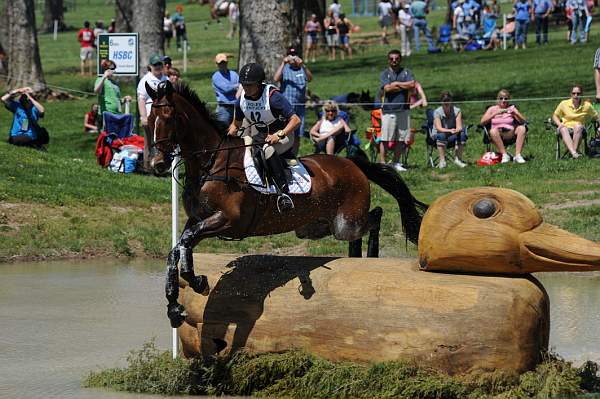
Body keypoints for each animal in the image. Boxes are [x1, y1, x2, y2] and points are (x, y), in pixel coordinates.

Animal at [145, 80, 426, 328]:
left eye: (169, 117)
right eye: (149, 121)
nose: (157, 164)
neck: (212, 163)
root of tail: (352, 163)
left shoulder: (227, 220)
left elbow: (185, 242)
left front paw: (196, 281)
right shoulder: (198, 219)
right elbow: (177, 249)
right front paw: (176, 304)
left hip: (346, 222)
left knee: (375, 216)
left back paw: (371, 255)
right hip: (317, 227)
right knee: (359, 228)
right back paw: (356, 258)